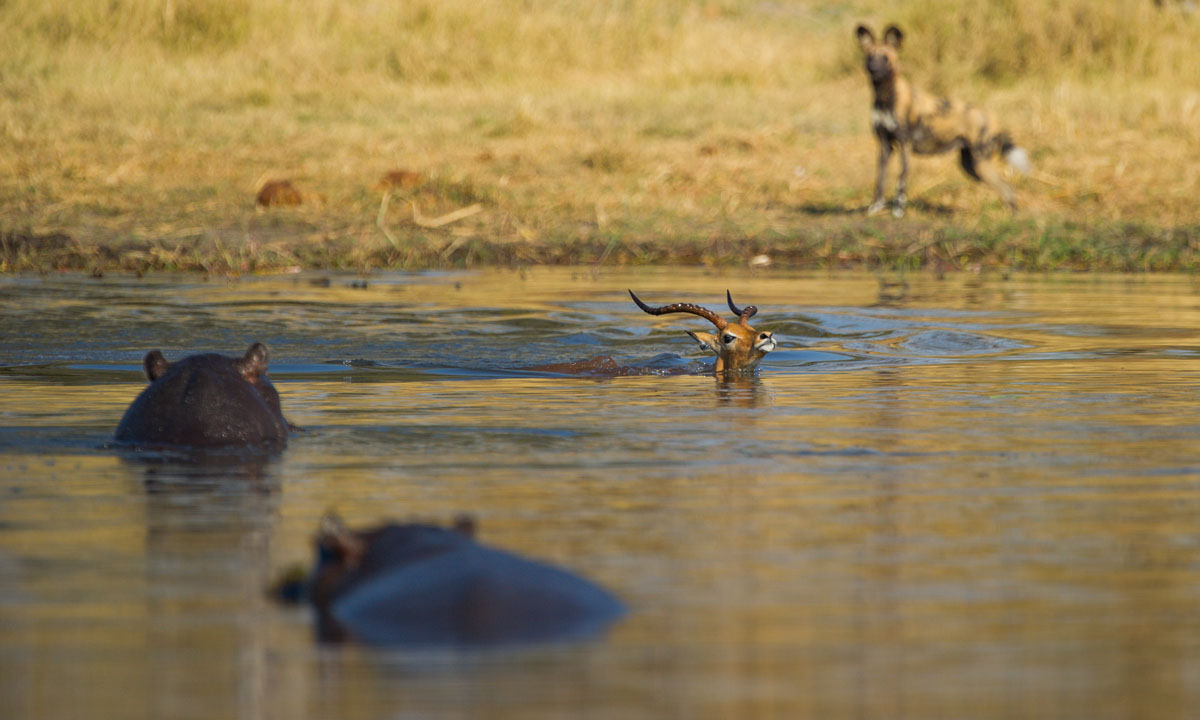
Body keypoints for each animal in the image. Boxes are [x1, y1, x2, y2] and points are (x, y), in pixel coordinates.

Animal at [854, 23, 1032, 218]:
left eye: (885, 58)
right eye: (869, 56)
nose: (873, 69)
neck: (884, 97)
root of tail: (995, 118)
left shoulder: (904, 145)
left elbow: (901, 178)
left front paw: (898, 210)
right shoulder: (885, 146)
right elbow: (880, 178)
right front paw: (876, 206)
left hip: (980, 164)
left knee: (1008, 188)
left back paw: (1013, 218)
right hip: (970, 166)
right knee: (1007, 189)